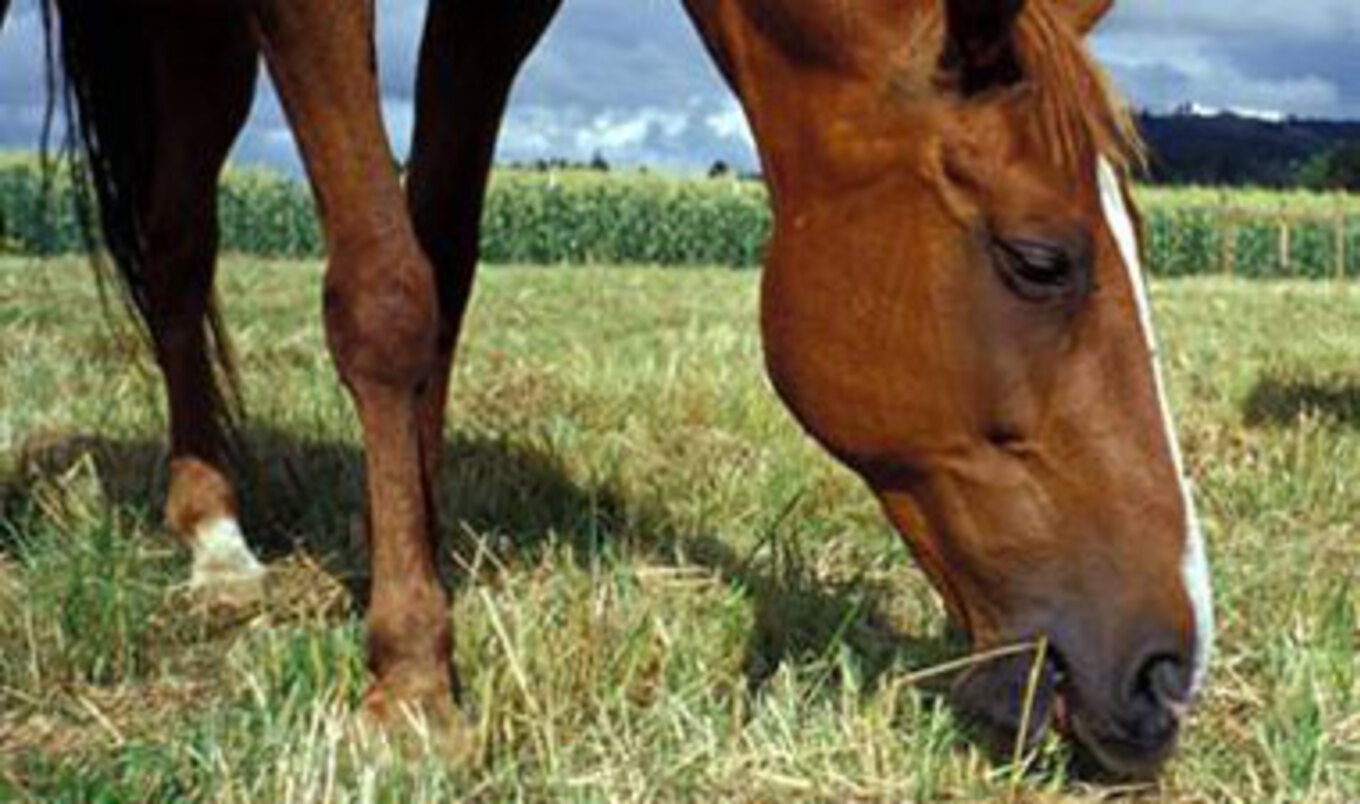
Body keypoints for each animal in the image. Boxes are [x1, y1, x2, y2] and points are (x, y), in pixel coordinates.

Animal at [13, 0, 1213, 779]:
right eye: (1038, 259)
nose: (1167, 674)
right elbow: (386, 293)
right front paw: (413, 684)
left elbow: (439, 269)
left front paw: (419, 559)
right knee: (177, 244)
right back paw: (213, 536)